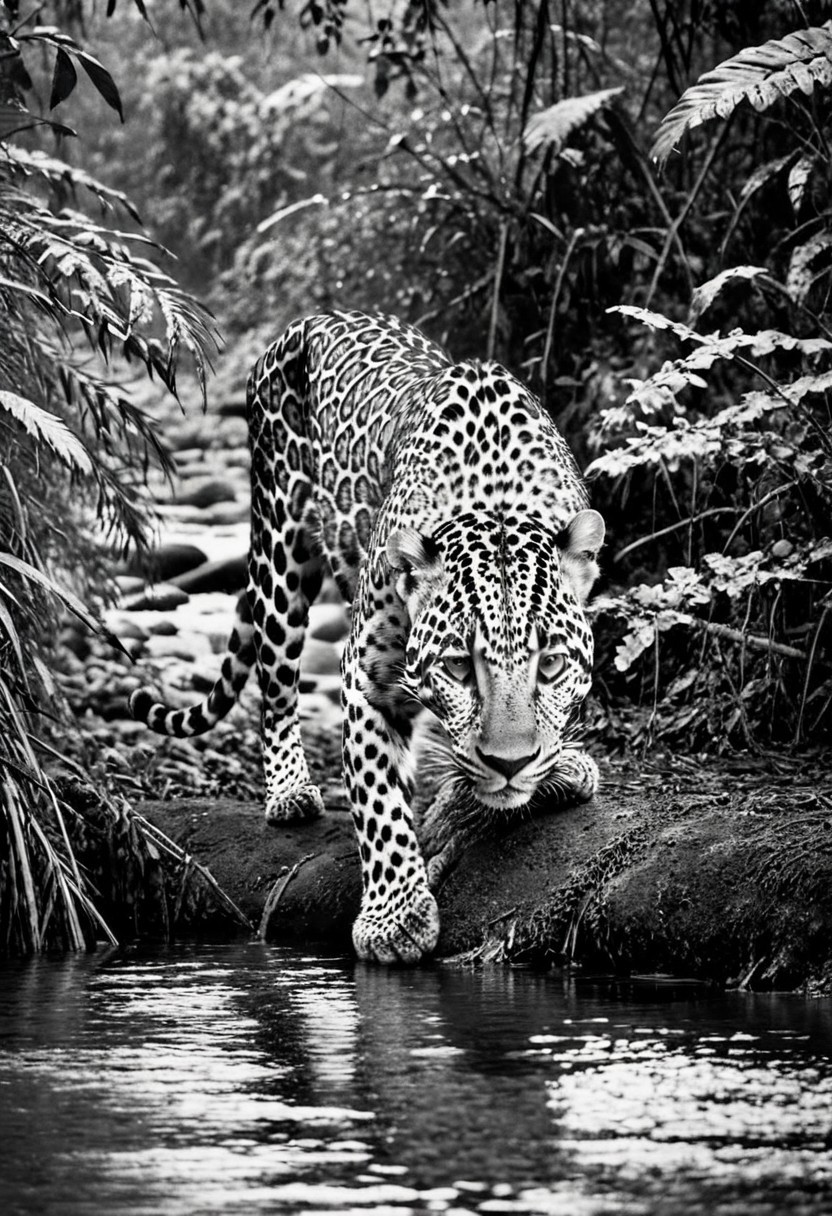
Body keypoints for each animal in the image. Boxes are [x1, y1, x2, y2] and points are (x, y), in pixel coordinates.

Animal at [129, 310, 605, 964]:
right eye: (459, 668)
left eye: (552, 665)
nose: (509, 764)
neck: (497, 494)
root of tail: (310, 318)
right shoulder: (365, 678)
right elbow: (378, 802)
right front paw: (395, 919)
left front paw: (556, 767)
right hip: (281, 552)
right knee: (276, 681)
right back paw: (290, 790)